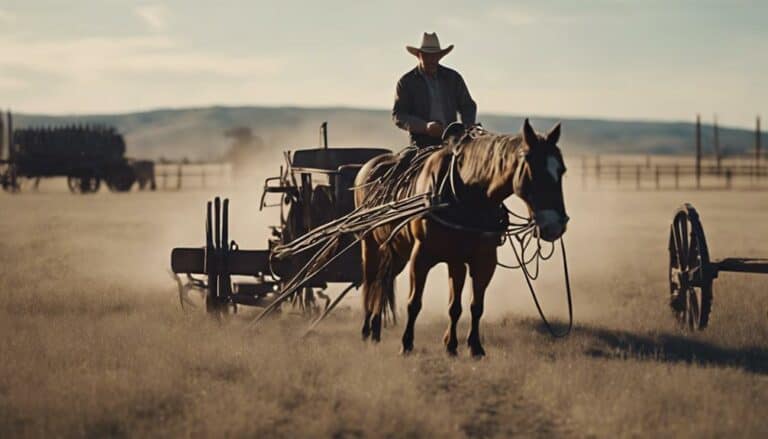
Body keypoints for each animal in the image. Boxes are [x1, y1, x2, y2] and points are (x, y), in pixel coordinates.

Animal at [356, 120, 568, 358]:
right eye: (533, 170)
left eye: (561, 170)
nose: (554, 225)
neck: (468, 193)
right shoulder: (421, 256)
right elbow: (414, 303)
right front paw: (407, 344)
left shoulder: (481, 260)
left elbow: (469, 306)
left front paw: (467, 346)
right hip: (370, 246)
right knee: (370, 283)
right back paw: (366, 330)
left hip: (398, 253)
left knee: (382, 284)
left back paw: (376, 330)